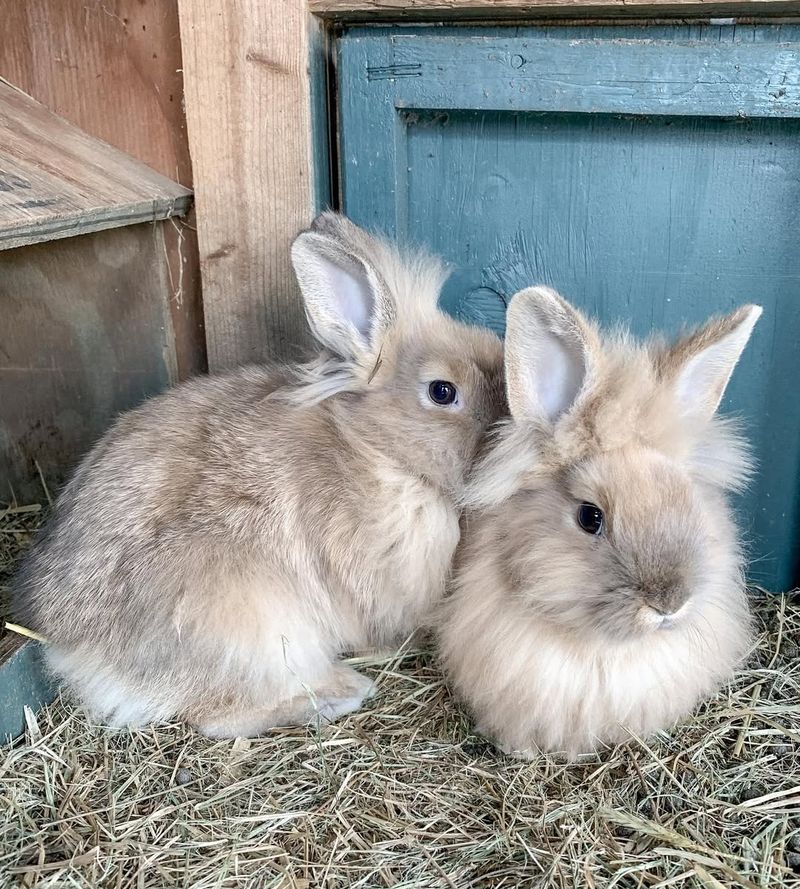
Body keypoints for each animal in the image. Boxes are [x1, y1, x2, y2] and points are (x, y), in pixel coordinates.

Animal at [12, 213, 504, 736]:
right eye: (442, 391)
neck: (379, 450)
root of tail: (75, 651)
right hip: (249, 628)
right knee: (218, 716)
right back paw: (339, 693)